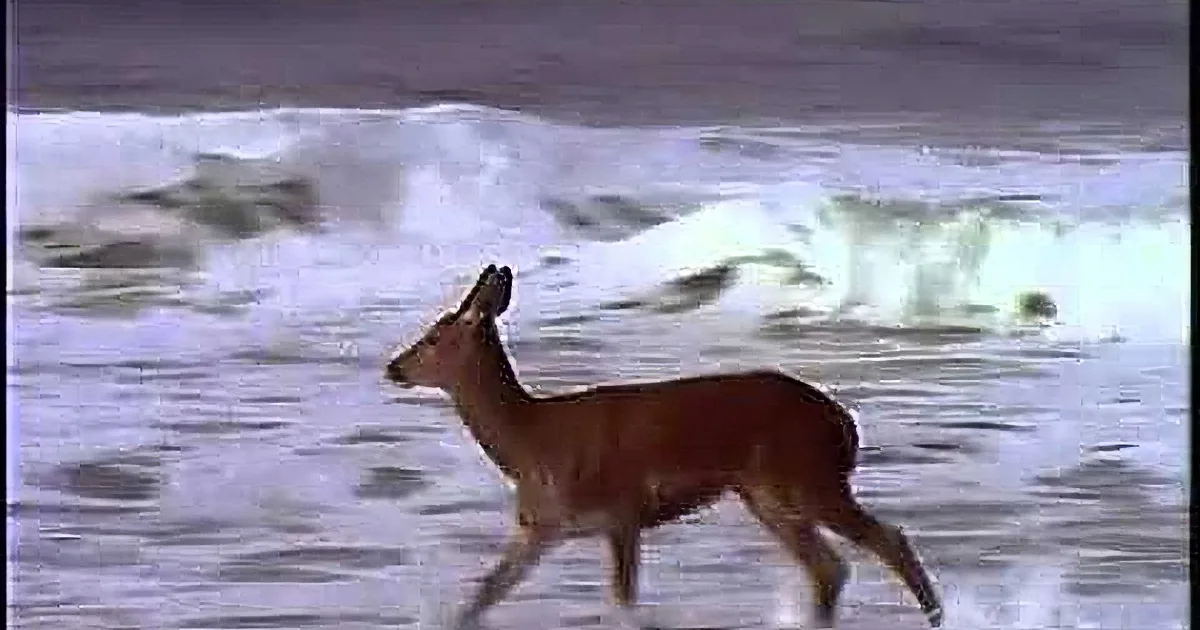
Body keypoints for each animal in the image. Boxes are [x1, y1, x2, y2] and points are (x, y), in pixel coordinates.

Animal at [384, 264, 944, 629]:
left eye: (432, 337)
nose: (394, 367)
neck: (532, 443)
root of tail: (845, 422)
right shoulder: (540, 527)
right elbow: (481, 596)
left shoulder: (622, 510)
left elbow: (624, 601)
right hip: (766, 495)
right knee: (829, 567)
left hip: (807, 476)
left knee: (885, 539)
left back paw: (936, 617)